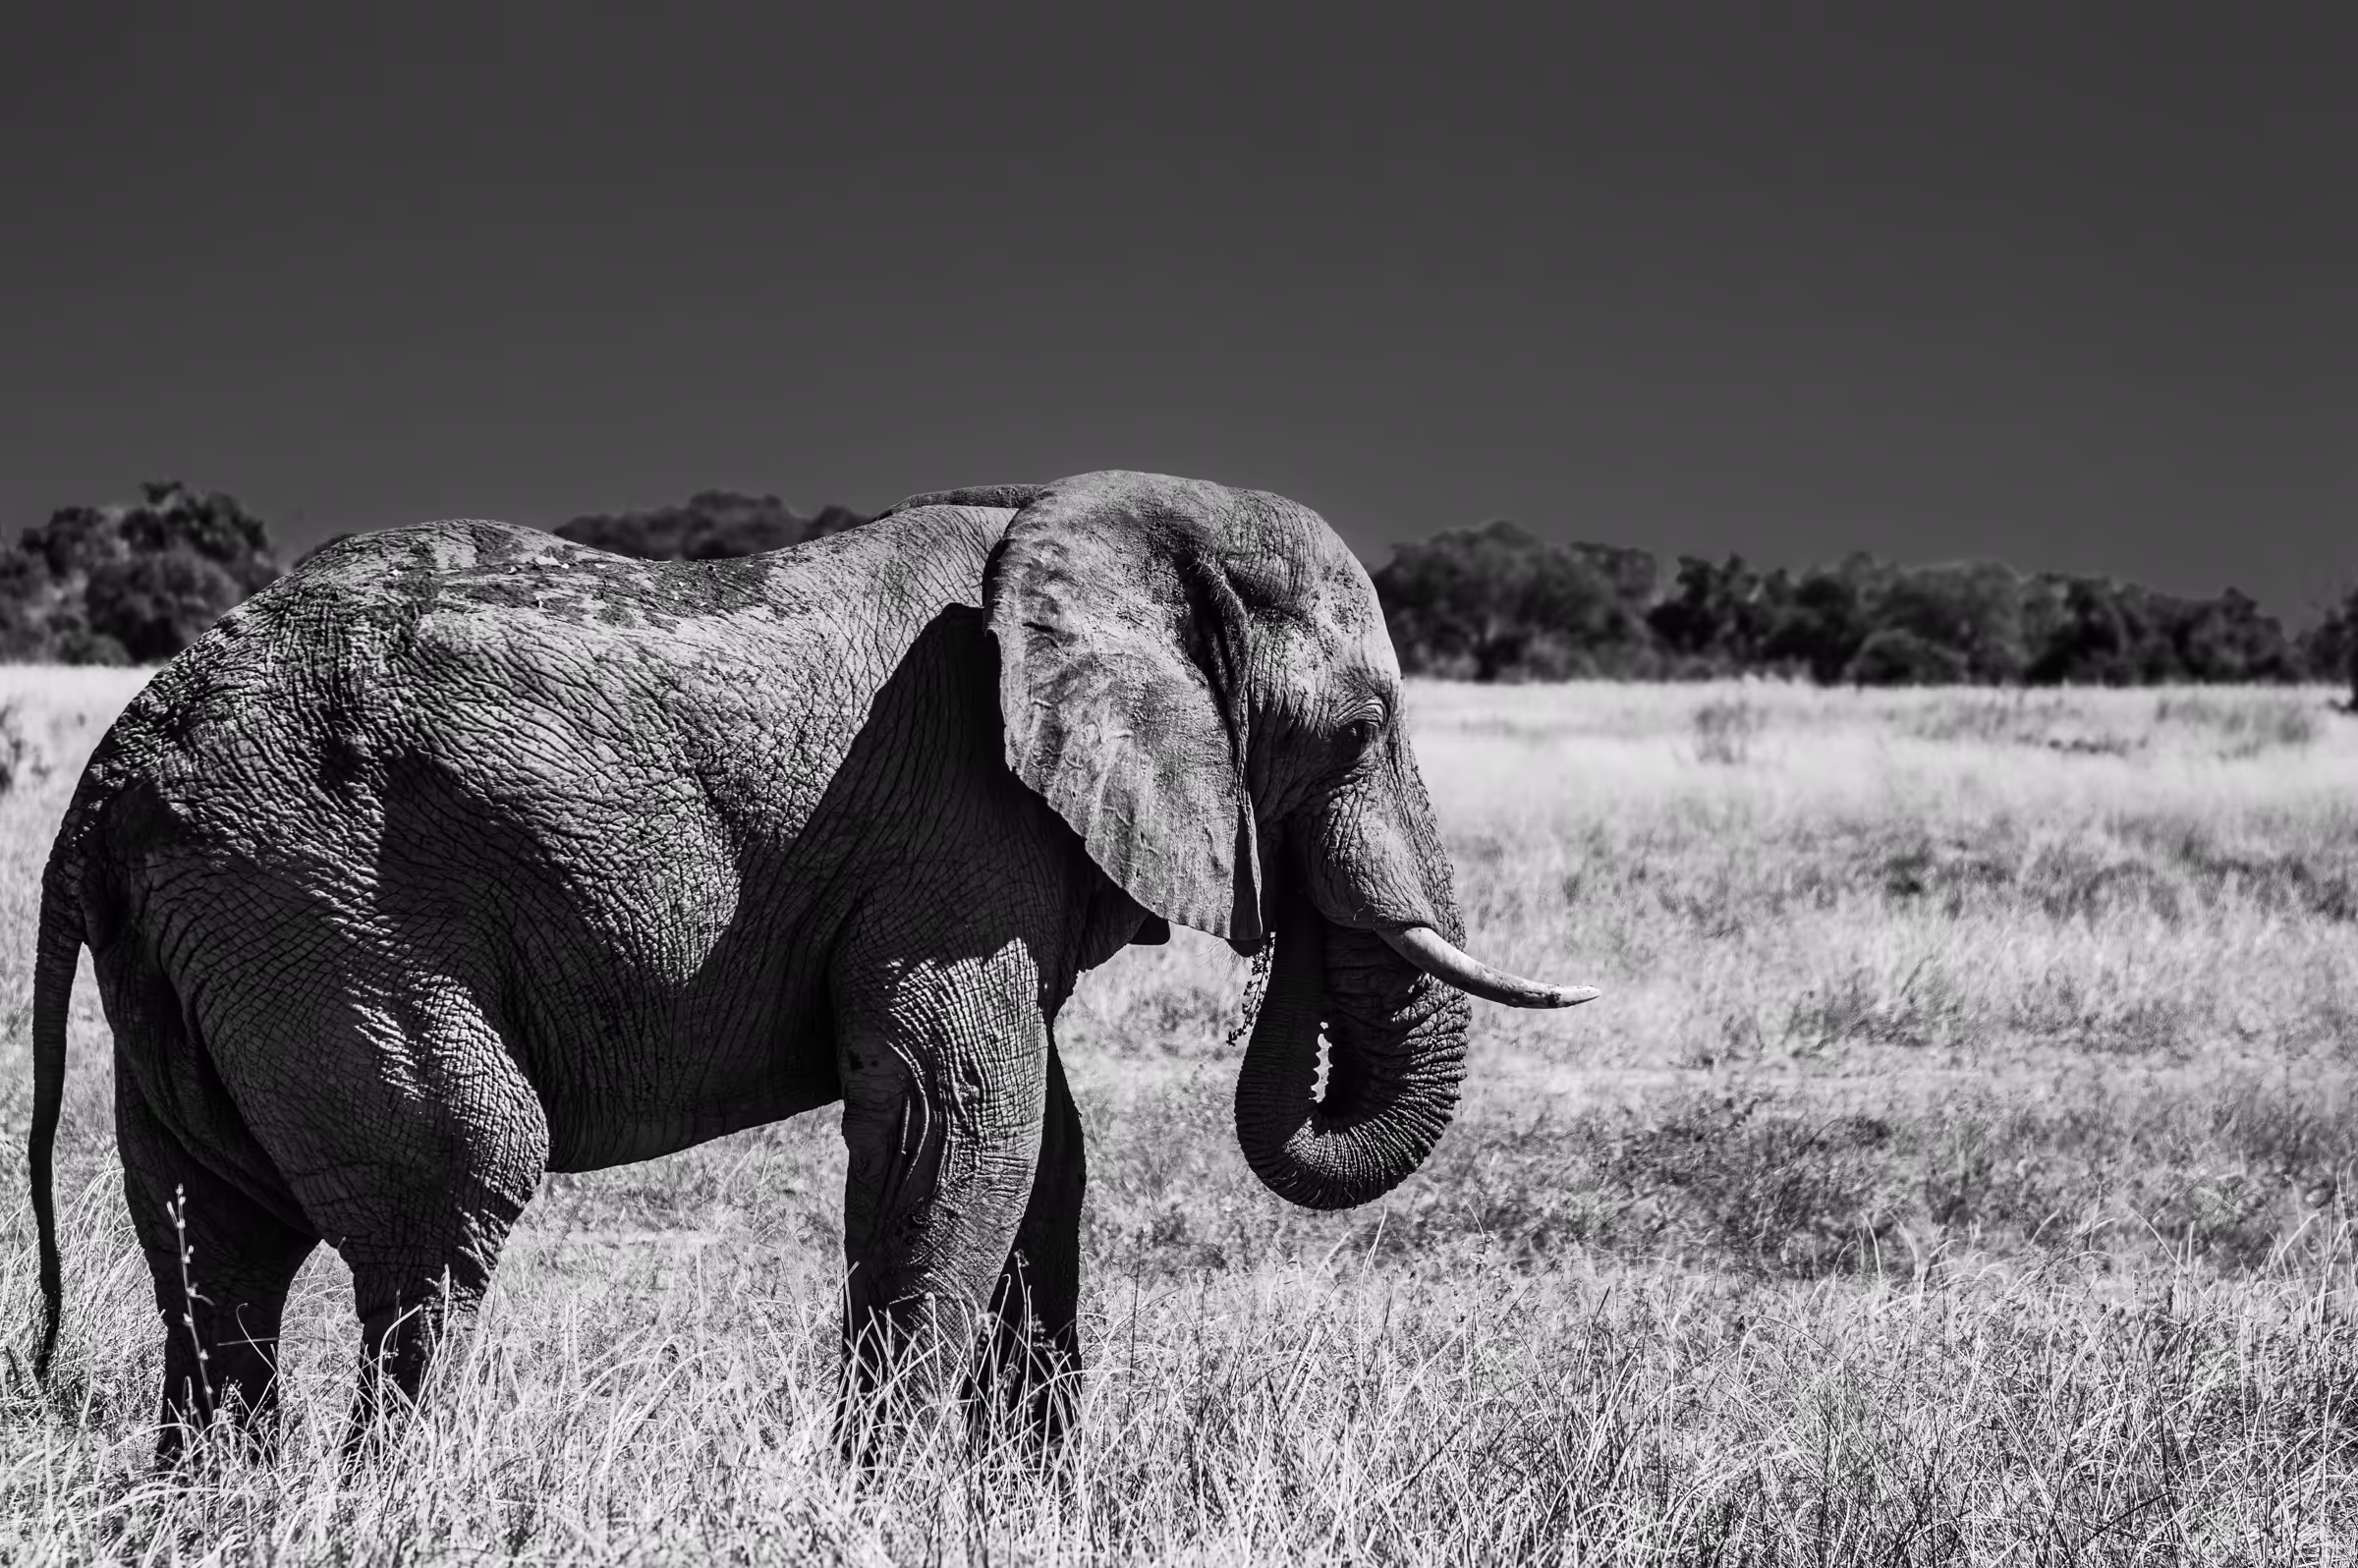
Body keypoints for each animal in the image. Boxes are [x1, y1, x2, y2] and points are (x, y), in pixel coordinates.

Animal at [25, 469, 1594, 1461]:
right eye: (1360, 730)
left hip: (214, 938)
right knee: (452, 1189)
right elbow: (961, 1116)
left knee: (218, 1240)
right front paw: (881, 1499)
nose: (1285, 940)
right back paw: (397, 1503)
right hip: (313, 902)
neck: (1092, 515)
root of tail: (105, 779)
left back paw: (222, 1505)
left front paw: (1021, 1505)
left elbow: (1045, 1149)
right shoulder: (957, 824)